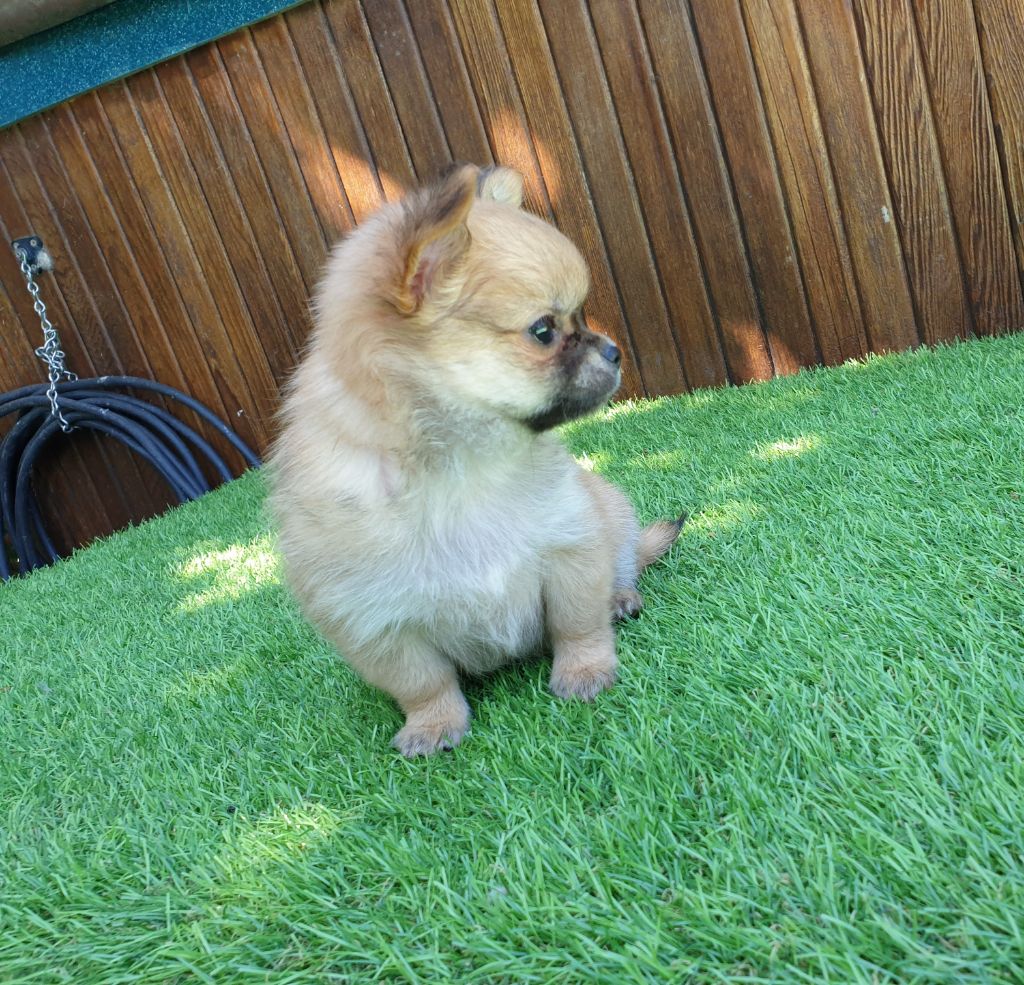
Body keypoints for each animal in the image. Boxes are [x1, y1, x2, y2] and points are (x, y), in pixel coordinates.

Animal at [269, 164, 682, 756]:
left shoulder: (570, 546)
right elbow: (423, 682)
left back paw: (622, 597)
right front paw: (433, 725)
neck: (460, 470)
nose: (613, 350)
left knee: (624, 563)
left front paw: (584, 672)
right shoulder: (374, 622)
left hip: (614, 514)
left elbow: (577, 625)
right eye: (544, 330)